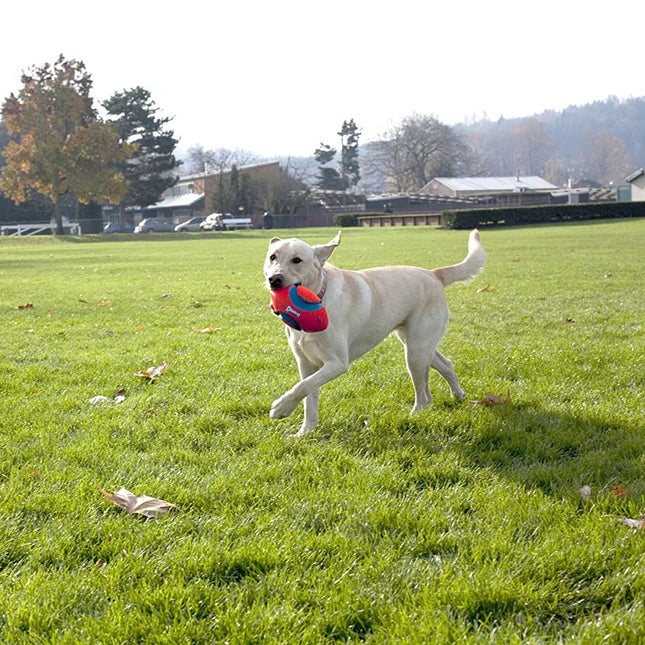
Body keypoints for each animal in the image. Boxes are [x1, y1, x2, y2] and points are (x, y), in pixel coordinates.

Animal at [262, 229, 484, 436]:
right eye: (273, 257)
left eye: (297, 260)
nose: (274, 279)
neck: (317, 300)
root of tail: (434, 274)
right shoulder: (306, 363)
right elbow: (309, 396)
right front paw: (305, 432)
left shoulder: (337, 363)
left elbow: (302, 387)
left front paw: (280, 408)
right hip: (417, 345)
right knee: (447, 365)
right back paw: (459, 395)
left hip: (416, 352)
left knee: (424, 396)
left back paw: (412, 417)